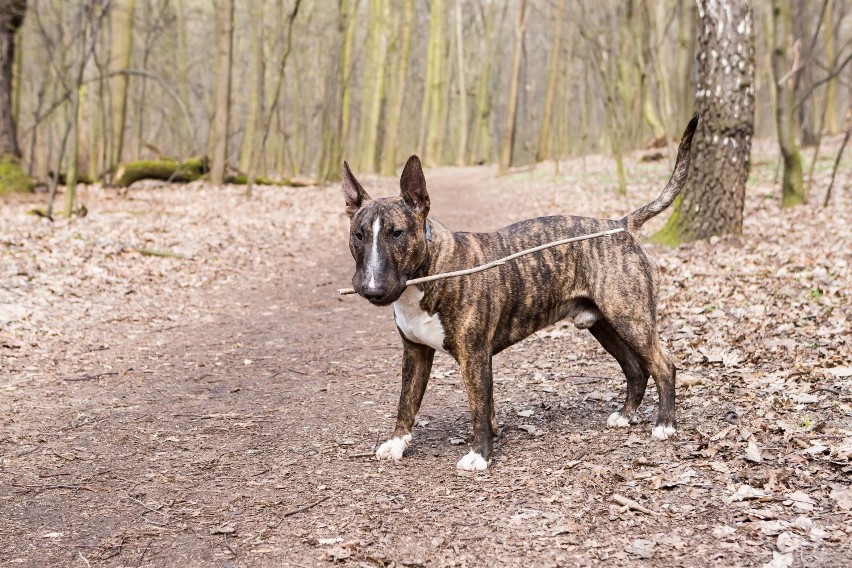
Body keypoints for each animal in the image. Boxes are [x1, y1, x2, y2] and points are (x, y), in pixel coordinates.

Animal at [342, 113, 700, 468]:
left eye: (397, 233)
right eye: (358, 234)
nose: (371, 287)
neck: (431, 271)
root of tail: (622, 225)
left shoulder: (474, 355)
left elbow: (477, 407)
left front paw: (479, 455)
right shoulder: (415, 353)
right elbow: (408, 401)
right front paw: (397, 443)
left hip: (631, 319)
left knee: (663, 366)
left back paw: (665, 424)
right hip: (603, 324)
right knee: (636, 370)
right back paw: (625, 416)